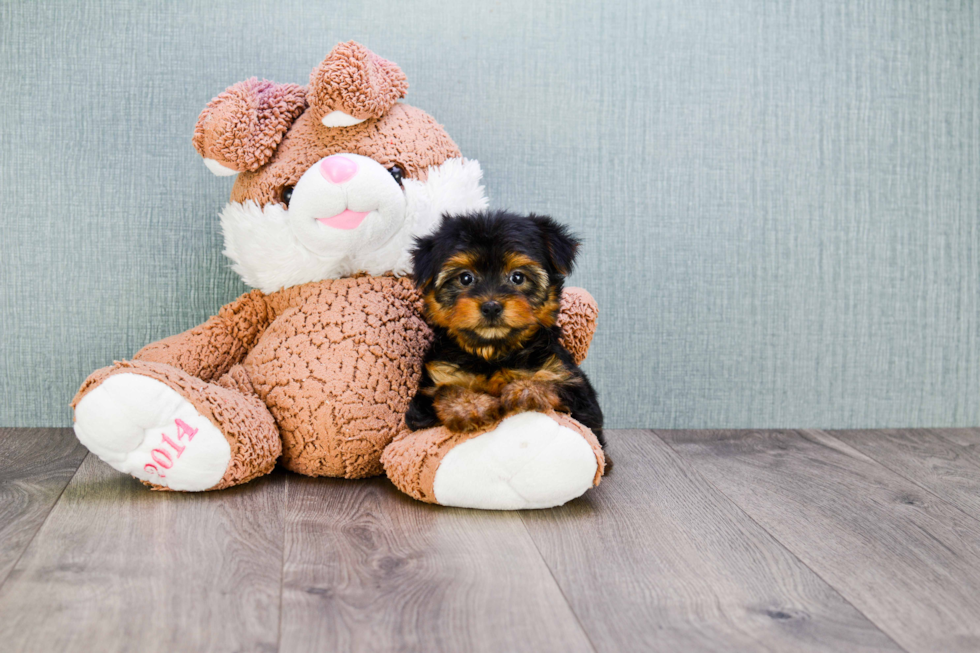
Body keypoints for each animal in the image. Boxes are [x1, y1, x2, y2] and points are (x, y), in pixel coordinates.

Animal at [406, 210, 604, 448]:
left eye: (517, 277)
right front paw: (470, 406)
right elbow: (446, 390)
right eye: (465, 278)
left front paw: (524, 389)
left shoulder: (575, 388)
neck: (493, 353)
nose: (491, 306)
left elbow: (554, 384)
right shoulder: (427, 397)